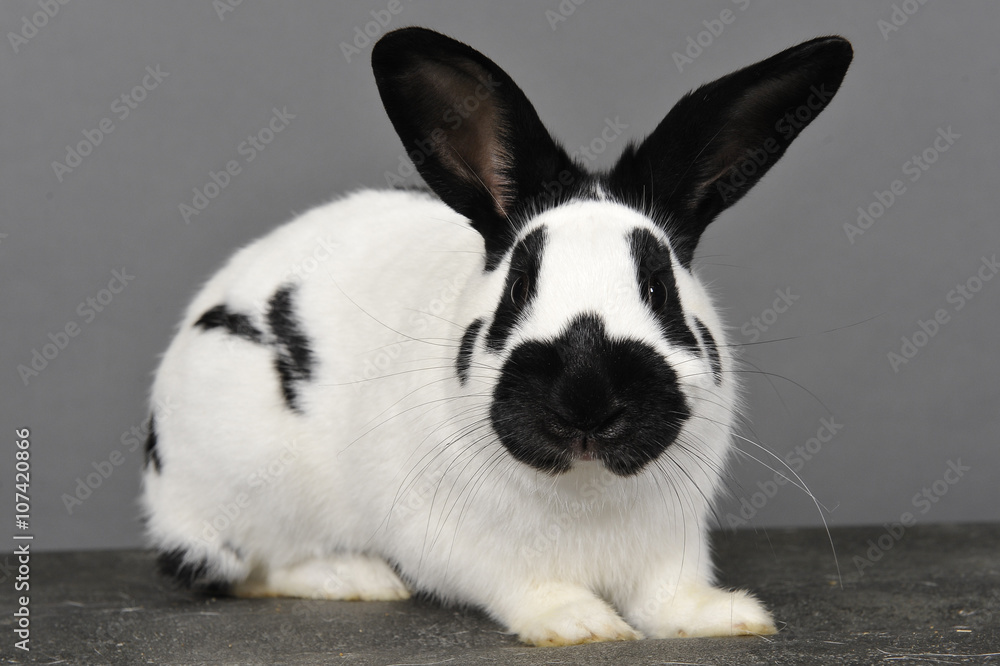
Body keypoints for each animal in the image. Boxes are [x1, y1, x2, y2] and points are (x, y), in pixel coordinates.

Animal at [139, 27, 852, 646]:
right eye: (519, 286)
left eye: (658, 287)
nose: (587, 402)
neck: (586, 486)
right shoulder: (465, 543)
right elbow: (523, 584)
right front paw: (580, 624)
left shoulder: (672, 540)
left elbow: (666, 595)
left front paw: (726, 617)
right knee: (246, 569)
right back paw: (358, 577)